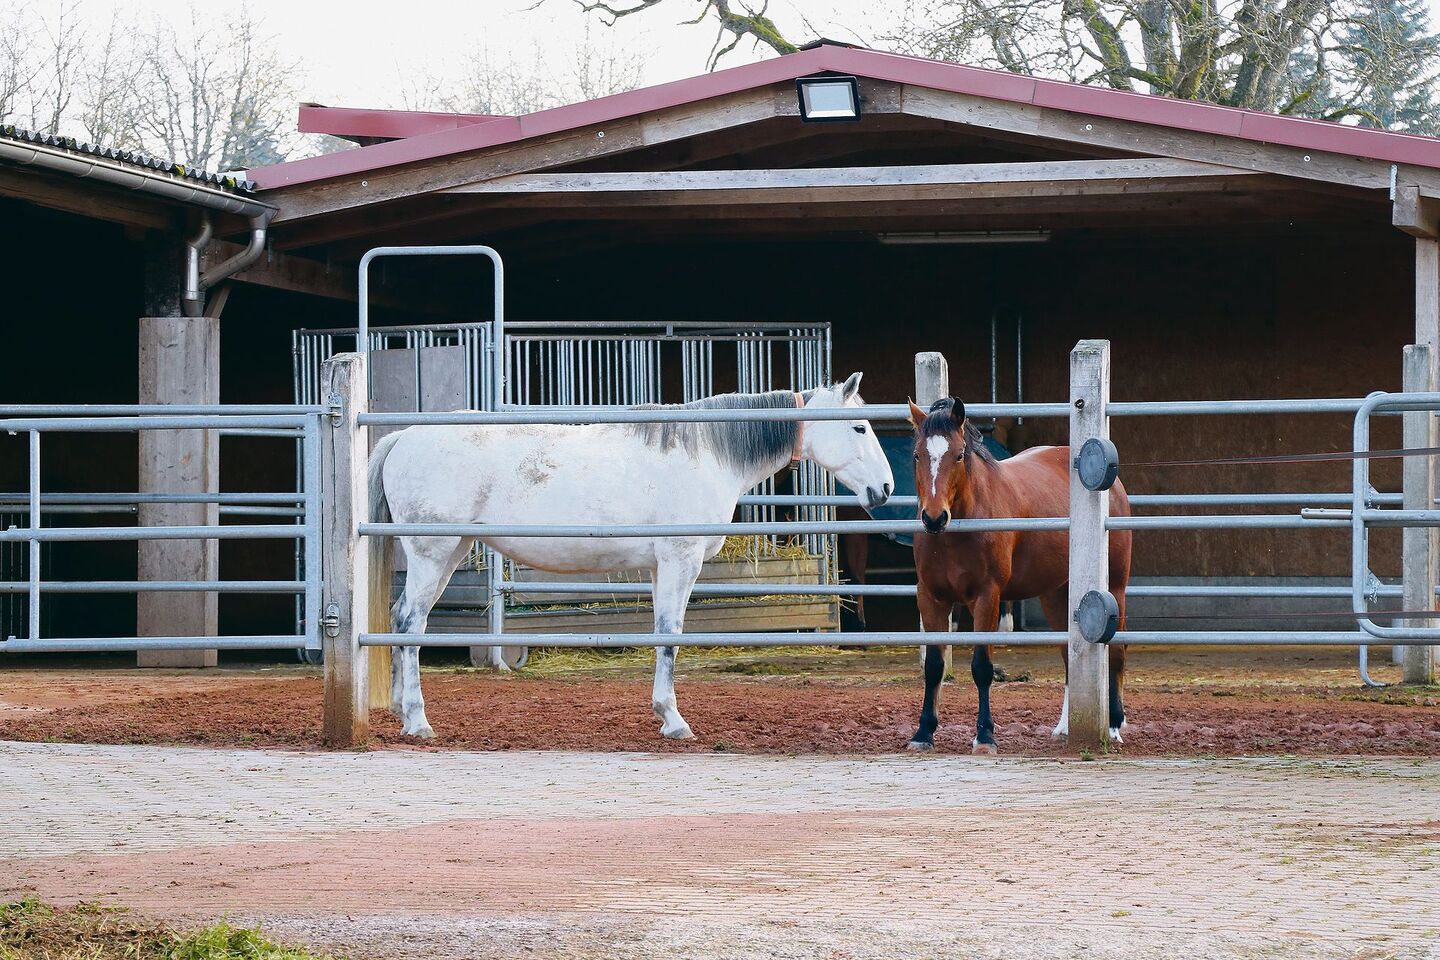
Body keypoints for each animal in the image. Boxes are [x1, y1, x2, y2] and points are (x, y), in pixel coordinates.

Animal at [368, 373, 894, 739]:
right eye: (859, 427)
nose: (886, 488)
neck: (706, 450)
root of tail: (403, 437)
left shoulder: (662, 568)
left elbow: (663, 635)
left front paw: (664, 713)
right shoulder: (681, 563)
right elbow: (670, 637)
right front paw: (674, 720)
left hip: (448, 554)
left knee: (399, 618)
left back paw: (399, 711)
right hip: (433, 555)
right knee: (411, 624)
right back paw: (418, 721)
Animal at [905, 397, 1132, 754]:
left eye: (958, 454)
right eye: (917, 455)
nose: (934, 517)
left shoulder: (987, 598)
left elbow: (982, 667)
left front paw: (985, 736)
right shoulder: (931, 598)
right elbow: (934, 667)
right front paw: (923, 732)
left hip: (1115, 588)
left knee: (1117, 653)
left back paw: (1113, 725)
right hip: (1057, 596)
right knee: (1068, 656)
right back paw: (1065, 726)